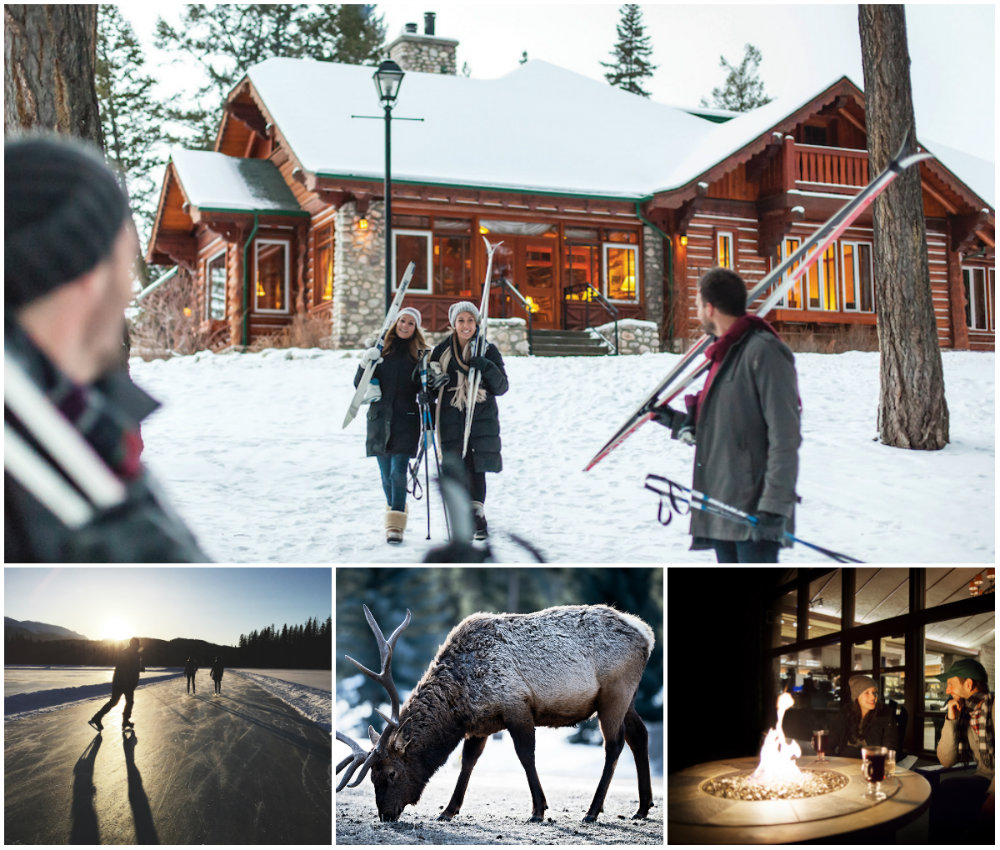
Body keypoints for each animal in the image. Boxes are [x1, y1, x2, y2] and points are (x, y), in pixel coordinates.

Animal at [334, 604, 656, 820]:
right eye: (372, 777)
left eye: (391, 772)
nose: (385, 815)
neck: (460, 700)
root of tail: (647, 635)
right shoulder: (480, 724)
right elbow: (468, 761)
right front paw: (448, 810)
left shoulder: (517, 706)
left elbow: (526, 756)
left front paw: (539, 809)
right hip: (628, 698)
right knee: (639, 735)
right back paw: (642, 807)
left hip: (614, 693)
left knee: (614, 744)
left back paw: (592, 811)